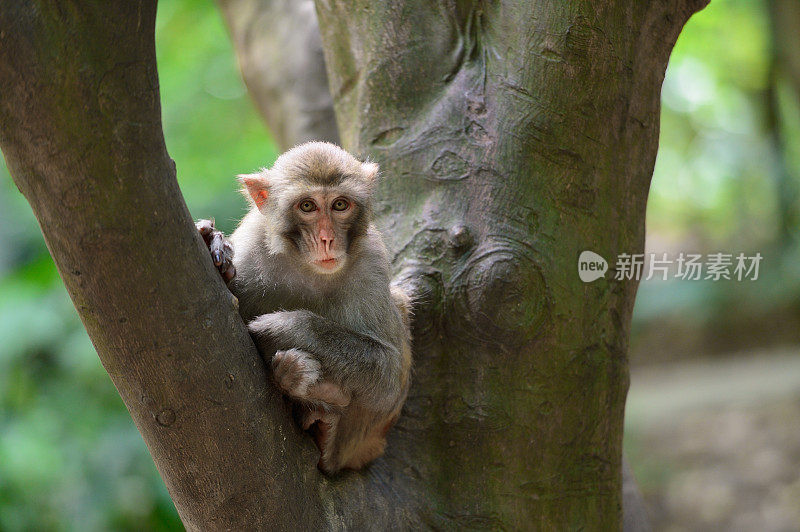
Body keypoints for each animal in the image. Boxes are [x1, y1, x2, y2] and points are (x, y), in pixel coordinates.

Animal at [196, 141, 412, 474]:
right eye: (307, 206)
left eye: (340, 205)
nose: (326, 239)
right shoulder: (252, 243)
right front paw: (213, 243)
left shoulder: (372, 260)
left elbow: (388, 373)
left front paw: (281, 327)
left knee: (398, 303)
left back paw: (323, 427)